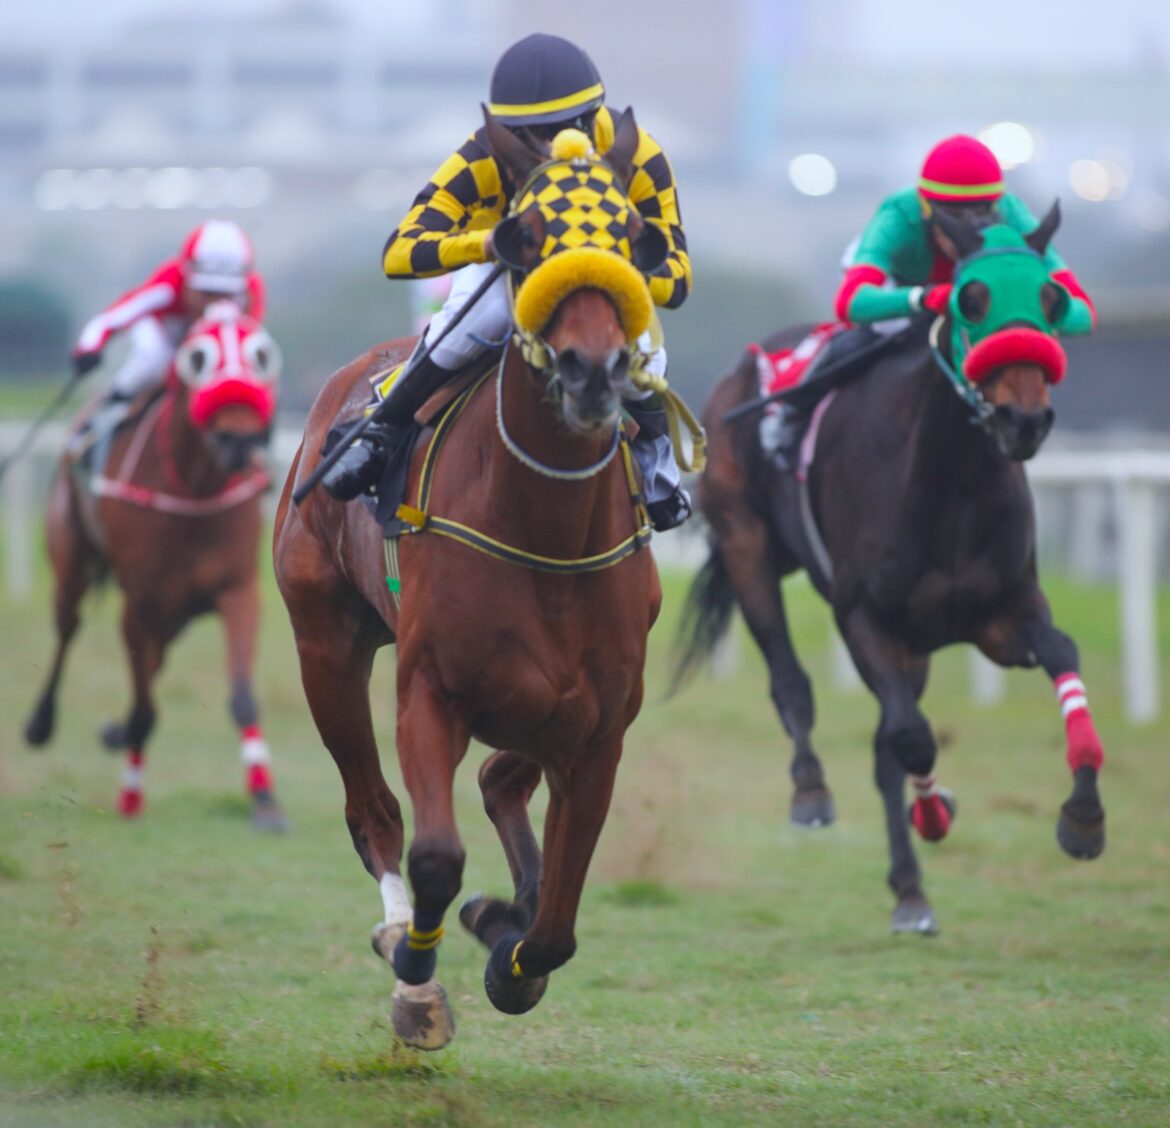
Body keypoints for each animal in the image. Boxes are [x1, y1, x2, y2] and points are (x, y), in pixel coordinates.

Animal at [26, 299, 286, 828]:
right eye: (199, 357)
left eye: (261, 354)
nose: (238, 440)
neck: (194, 488)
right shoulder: (140, 602)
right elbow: (146, 706)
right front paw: (130, 796)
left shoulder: (238, 590)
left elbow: (242, 696)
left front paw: (265, 799)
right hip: (73, 564)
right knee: (68, 629)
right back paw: (41, 723)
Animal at [269, 108, 664, 1048]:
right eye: (522, 237)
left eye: (631, 233)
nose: (592, 370)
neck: (544, 530)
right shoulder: (430, 694)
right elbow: (437, 856)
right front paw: (420, 977)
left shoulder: (601, 727)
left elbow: (557, 924)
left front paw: (510, 950)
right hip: (325, 646)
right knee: (373, 812)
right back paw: (401, 942)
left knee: (498, 783)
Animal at [678, 209, 1104, 936]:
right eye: (971, 299)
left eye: (1050, 299)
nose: (1023, 420)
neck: (951, 483)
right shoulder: (864, 617)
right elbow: (909, 736)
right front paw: (934, 810)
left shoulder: (1003, 614)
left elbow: (1061, 653)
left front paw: (1082, 814)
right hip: (747, 545)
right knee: (793, 684)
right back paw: (812, 790)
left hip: (917, 643)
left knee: (884, 741)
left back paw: (910, 892)